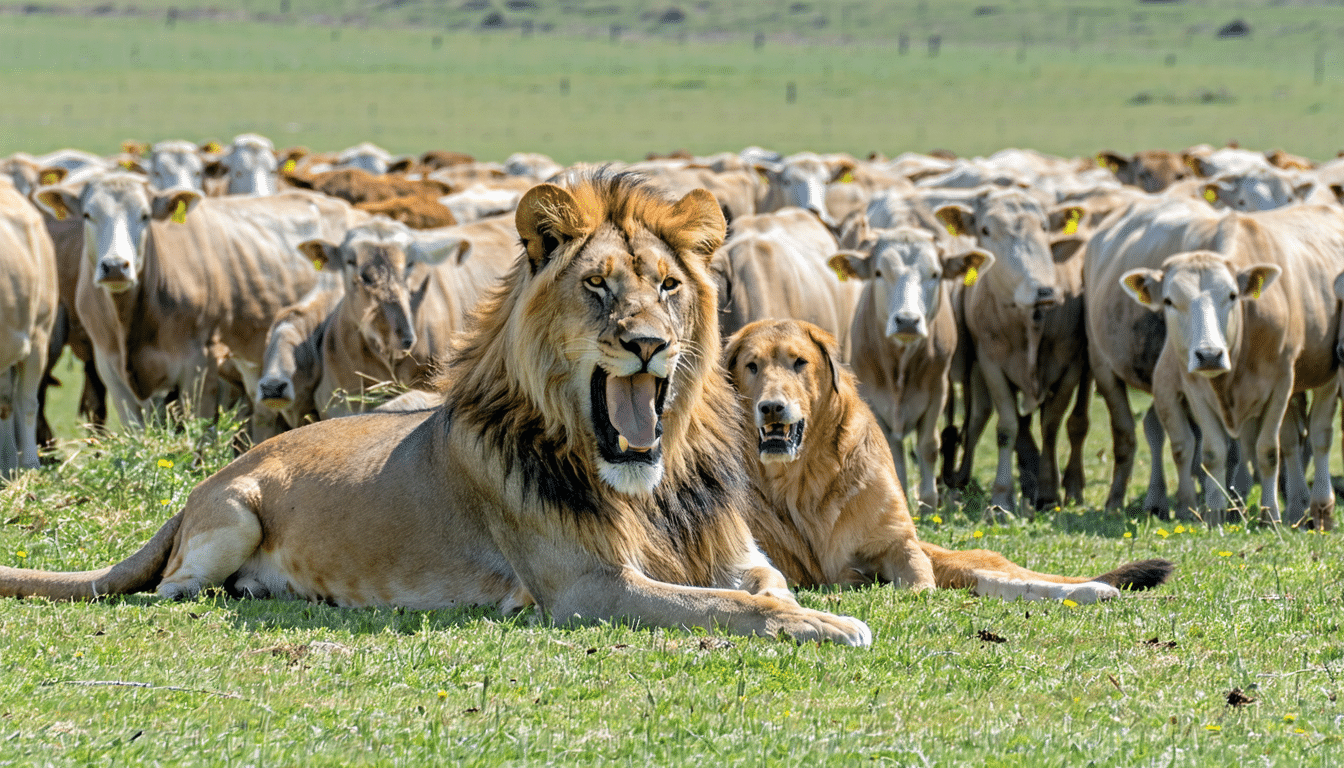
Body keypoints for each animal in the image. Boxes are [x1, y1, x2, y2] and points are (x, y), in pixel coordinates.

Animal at [0, 172, 870, 645]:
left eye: (667, 286)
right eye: (598, 285)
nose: (650, 343)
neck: (649, 486)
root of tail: (197, 491)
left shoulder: (732, 552)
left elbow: (762, 589)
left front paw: (814, 611)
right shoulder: (588, 590)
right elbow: (734, 609)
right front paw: (833, 624)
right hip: (234, 515)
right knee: (173, 588)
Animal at [723, 318, 1174, 601]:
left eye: (799, 362)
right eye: (752, 366)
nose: (771, 407)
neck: (803, 478)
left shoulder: (900, 544)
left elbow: (919, 583)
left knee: (1010, 577)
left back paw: (1095, 590)